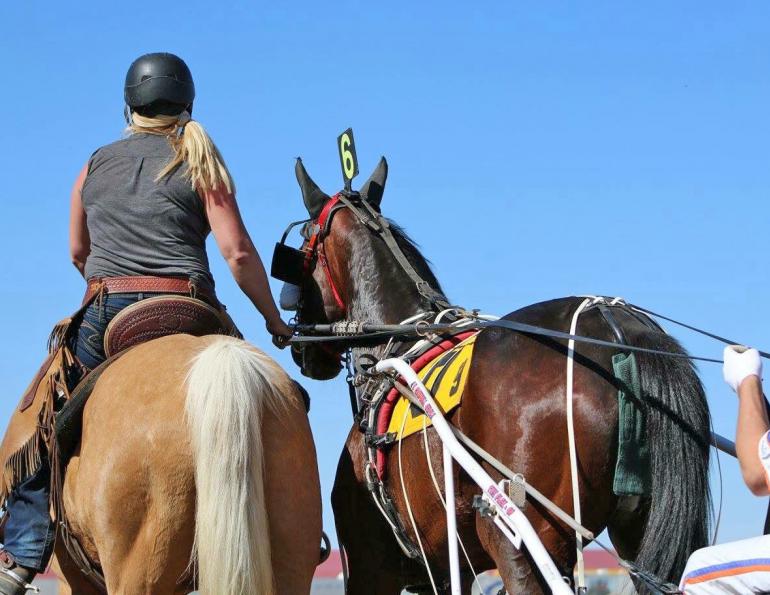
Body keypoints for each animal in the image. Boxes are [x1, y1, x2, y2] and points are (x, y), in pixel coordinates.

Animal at [280, 157, 712, 594]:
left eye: (300, 244)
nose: (301, 350)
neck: (400, 341)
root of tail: (615, 327)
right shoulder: (444, 569)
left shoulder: (371, 565)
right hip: (638, 529)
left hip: (516, 537)